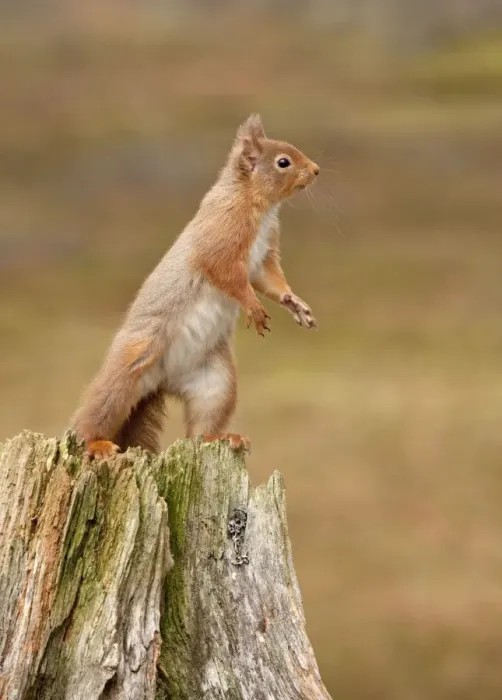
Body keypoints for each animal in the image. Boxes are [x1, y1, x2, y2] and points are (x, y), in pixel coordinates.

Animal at [72, 114, 319, 459]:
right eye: (283, 162)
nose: (316, 170)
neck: (256, 204)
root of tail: (163, 382)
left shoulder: (263, 257)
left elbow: (269, 280)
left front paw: (295, 304)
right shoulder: (221, 239)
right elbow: (228, 277)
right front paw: (254, 308)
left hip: (216, 383)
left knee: (202, 428)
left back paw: (223, 437)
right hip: (127, 370)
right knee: (96, 412)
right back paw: (96, 442)